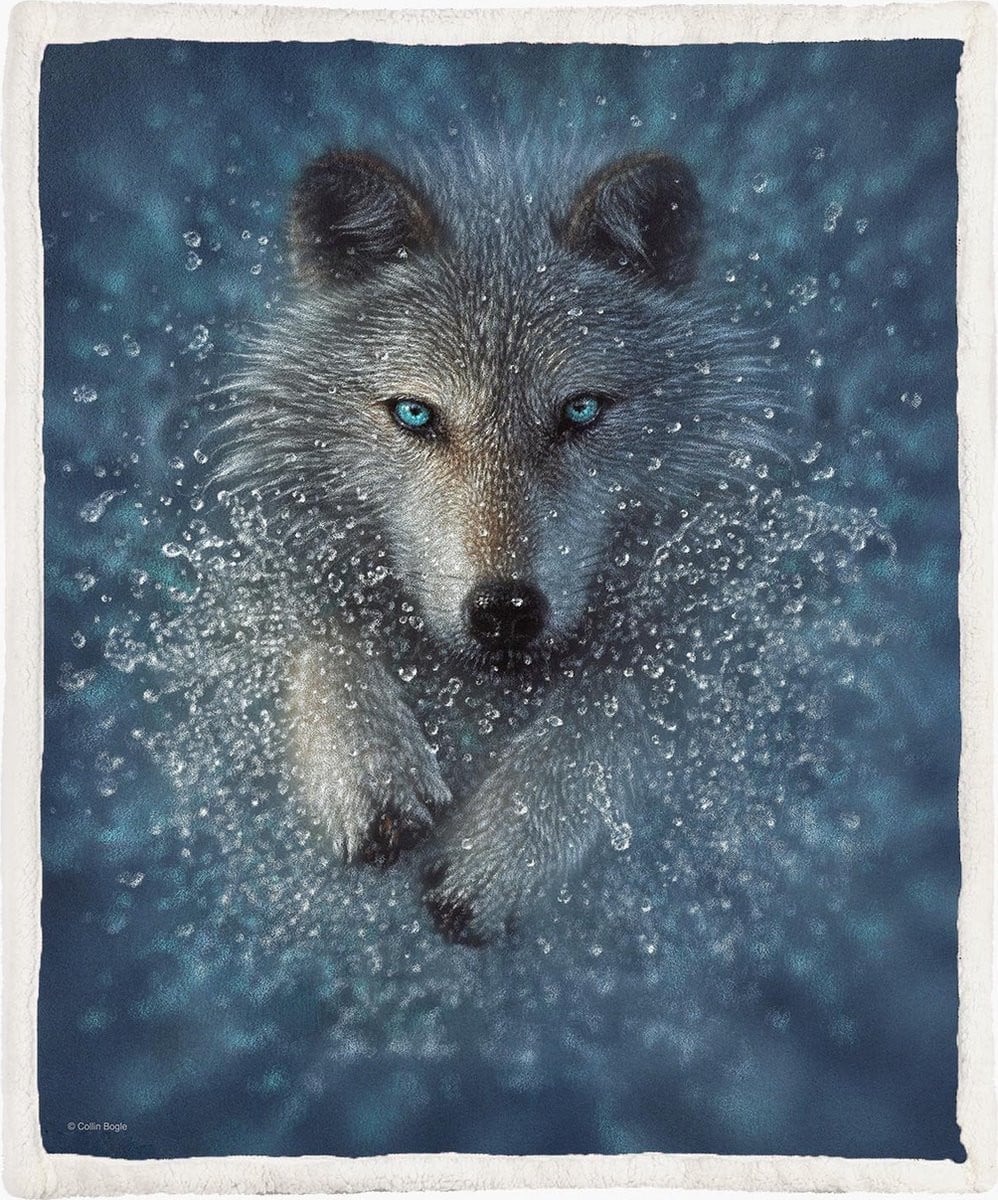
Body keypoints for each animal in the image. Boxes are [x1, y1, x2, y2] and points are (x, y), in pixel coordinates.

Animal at [218, 142, 772, 945]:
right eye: (415, 414)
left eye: (581, 410)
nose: (505, 610)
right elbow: (324, 631)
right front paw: (370, 770)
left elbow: (615, 702)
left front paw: (503, 849)